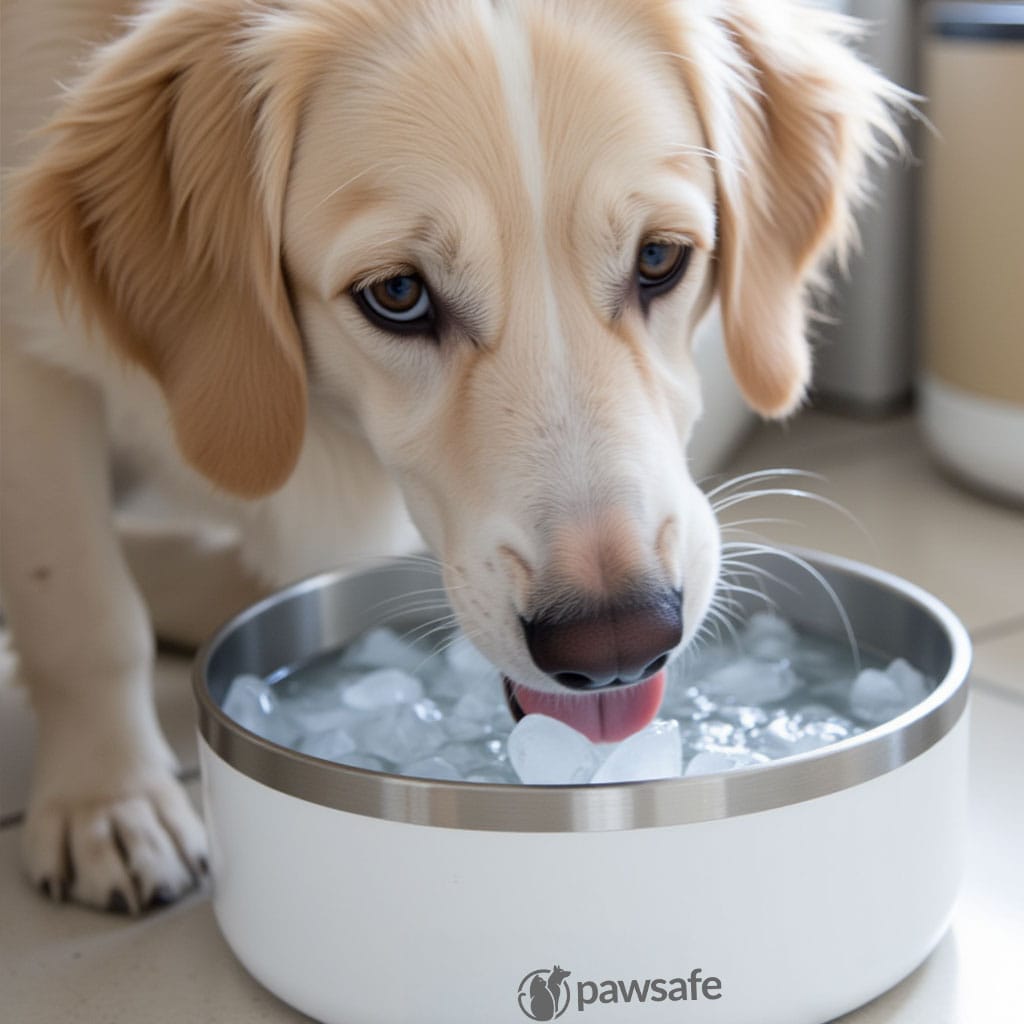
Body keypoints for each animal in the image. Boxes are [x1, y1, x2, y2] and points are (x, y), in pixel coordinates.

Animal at [0, 0, 901, 913]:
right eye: (397, 294)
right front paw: (109, 801)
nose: (617, 644)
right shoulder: (25, 365)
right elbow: (83, 612)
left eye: (659, 257)